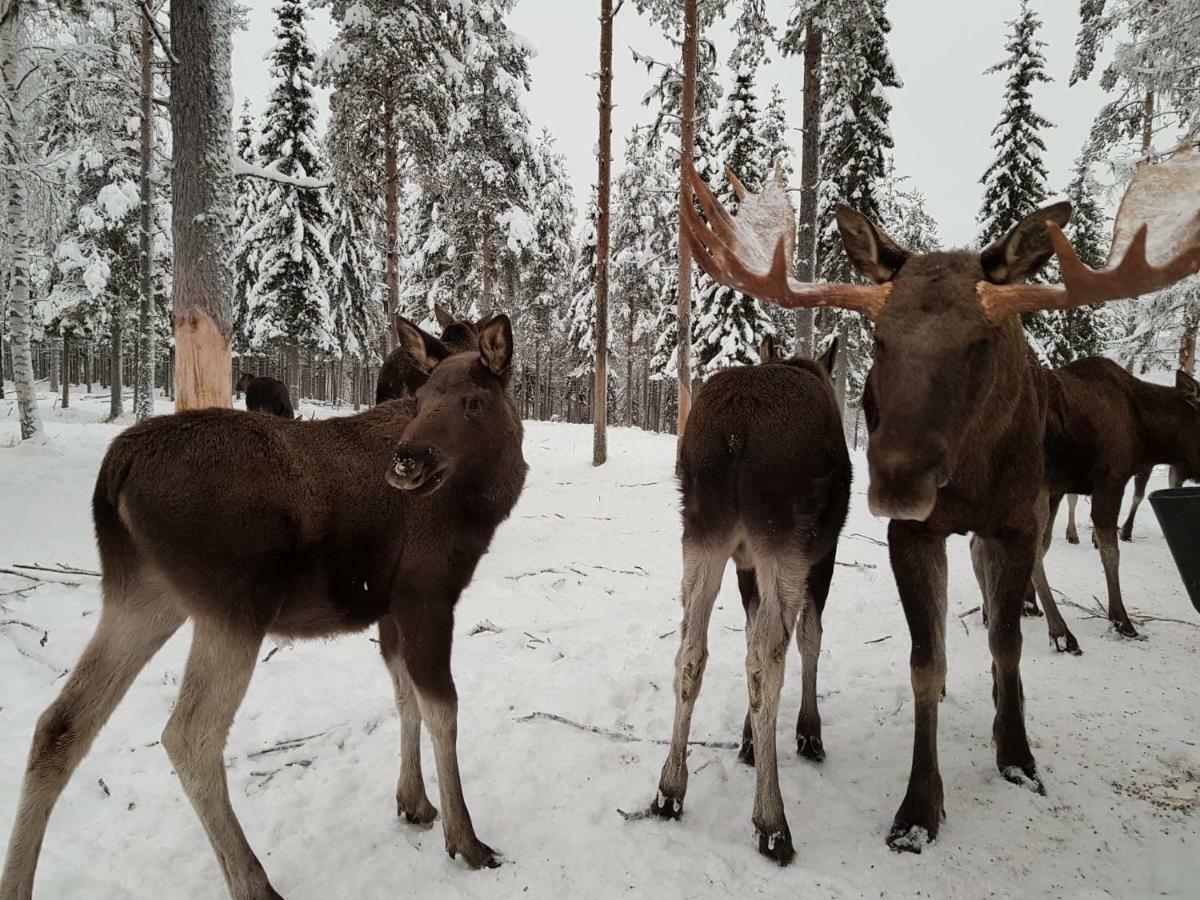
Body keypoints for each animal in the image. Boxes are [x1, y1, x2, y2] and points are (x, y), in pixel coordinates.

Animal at [1, 314, 525, 900]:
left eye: (472, 402)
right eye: (424, 398)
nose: (406, 462)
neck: (484, 504)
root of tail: (115, 470)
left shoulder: (389, 609)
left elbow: (403, 698)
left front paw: (413, 802)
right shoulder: (427, 594)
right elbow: (442, 709)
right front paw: (467, 839)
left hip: (141, 593)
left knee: (60, 724)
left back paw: (17, 881)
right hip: (234, 605)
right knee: (188, 734)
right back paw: (254, 881)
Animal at [648, 333, 854, 868]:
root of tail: (734, 432)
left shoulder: (744, 562)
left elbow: (746, 629)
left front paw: (746, 740)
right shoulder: (823, 553)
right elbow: (810, 637)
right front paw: (808, 732)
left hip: (703, 532)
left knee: (691, 652)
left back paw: (669, 788)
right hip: (784, 539)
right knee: (765, 660)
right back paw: (772, 820)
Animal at [1022, 362, 1200, 657]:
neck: (1145, 433)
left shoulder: (1062, 487)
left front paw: (1026, 601)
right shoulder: (1110, 480)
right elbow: (1110, 553)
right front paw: (1121, 620)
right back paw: (1061, 632)